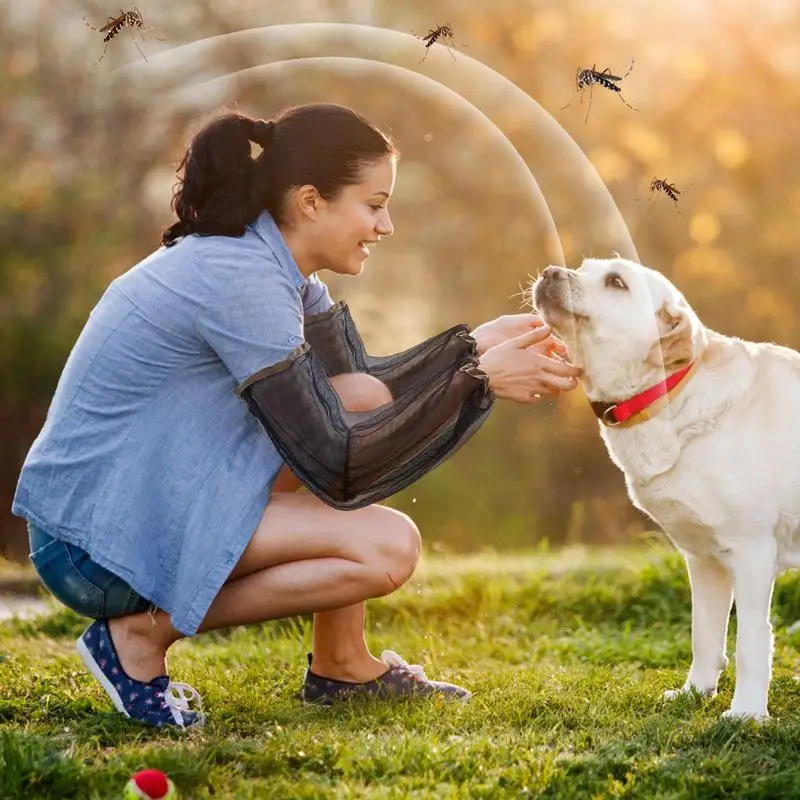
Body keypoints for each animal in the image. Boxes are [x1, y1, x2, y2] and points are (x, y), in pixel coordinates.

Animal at [532, 260, 800, 720]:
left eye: (616, 282)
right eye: (584, 267)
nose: (551, 271)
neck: (667, 394)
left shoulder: (752, 551)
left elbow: (750, 643)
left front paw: (746, 713)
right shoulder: (704, 558)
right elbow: (704, 635)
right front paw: (695, 691)